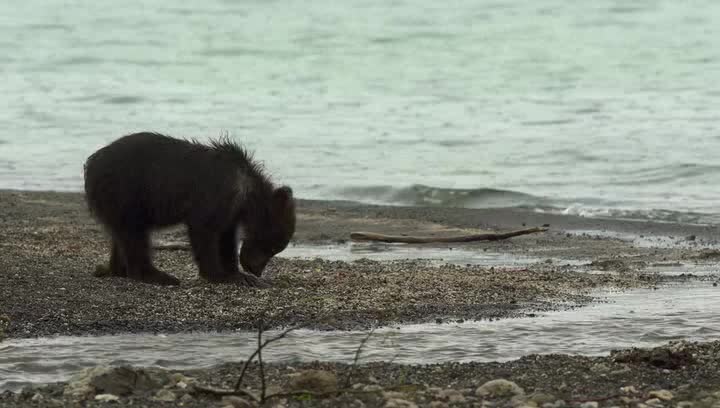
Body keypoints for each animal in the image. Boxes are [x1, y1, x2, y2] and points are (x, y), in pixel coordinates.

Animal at [83, 132, 296, 286]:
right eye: (273, 246)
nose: (256, 271)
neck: (246, 194)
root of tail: (91, 162)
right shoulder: (215, 194)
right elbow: (204, 230)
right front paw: (217, 274)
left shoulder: (230, 210)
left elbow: (226, 237)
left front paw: (238, 275)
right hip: (126, 192)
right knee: (135, 234)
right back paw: (158, 276)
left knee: (121, 235)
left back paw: (116, 269)